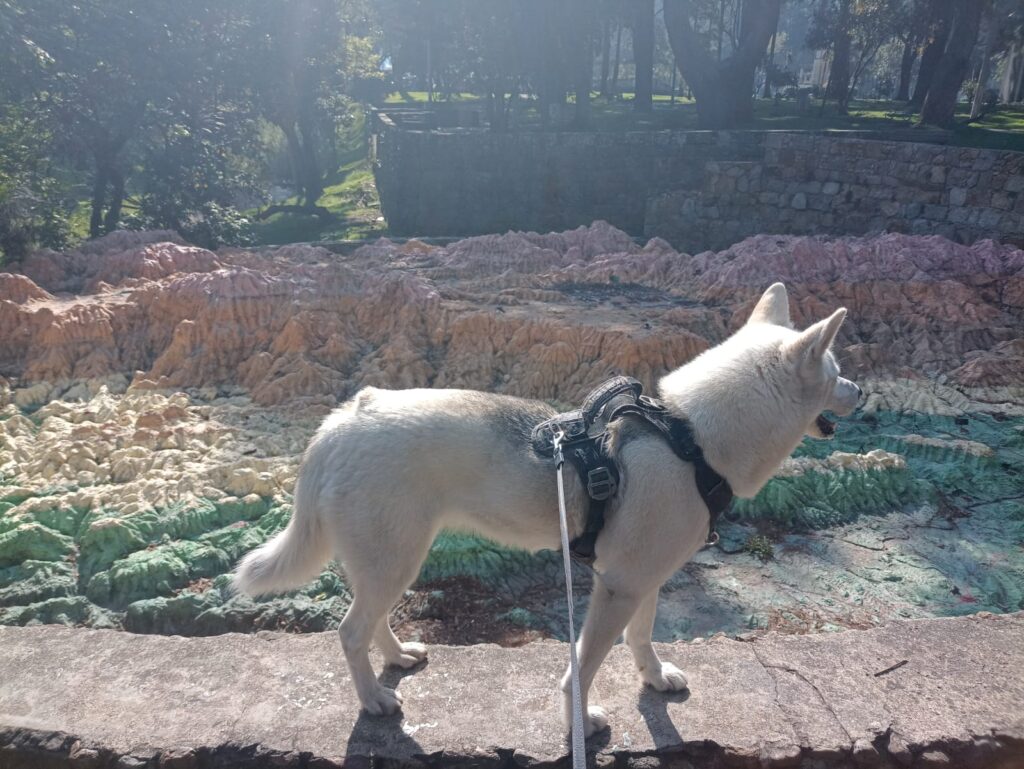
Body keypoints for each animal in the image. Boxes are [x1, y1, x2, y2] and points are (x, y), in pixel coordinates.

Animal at [235, 282, 860, 733]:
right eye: (833, 371)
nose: (859, 391)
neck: (689, 438)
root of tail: (340, 422)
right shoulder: (618, 587)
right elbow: (583, 668)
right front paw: (580, 722)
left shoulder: (644, 581)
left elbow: (642, 638)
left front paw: (654, 678)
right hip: (395, 558)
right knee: (348, 632)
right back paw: (373, 702)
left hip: (394, 559)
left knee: (372, 622)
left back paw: (397, 658)